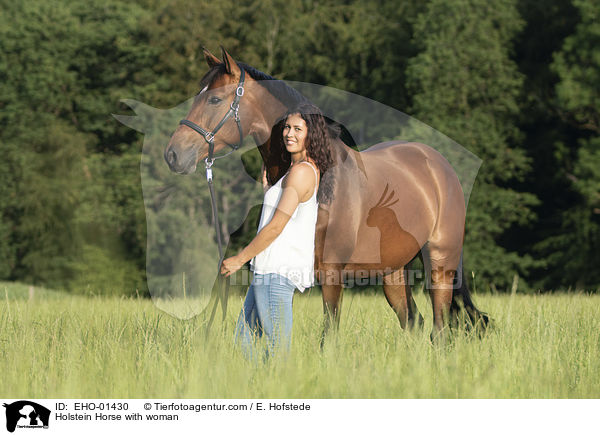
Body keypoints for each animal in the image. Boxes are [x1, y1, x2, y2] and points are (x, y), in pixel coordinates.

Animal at [163, 47, 488, 340]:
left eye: (215, 99)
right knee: (413, 323)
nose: (173, 154)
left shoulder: (332, 274)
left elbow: (328, 335)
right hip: (393, 271)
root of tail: (440, 166)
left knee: (439, 328)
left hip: (439, 263)